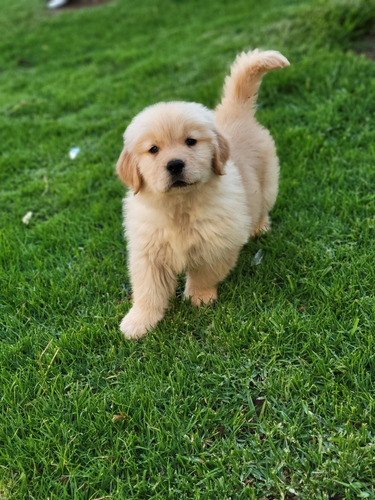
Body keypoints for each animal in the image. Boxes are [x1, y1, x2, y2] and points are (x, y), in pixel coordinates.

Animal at [117, 49, 290, 340]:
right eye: (153, 149)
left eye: (191, 141)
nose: (175, 164)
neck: (180, 206)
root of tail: (234, 110)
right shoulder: (148, 252)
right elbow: (148, 291)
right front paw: (138, 321)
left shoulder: (218, 242)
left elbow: (204, 274)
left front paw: (199, 298)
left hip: (268, 184)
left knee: (262, 206)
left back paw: (260, 227)